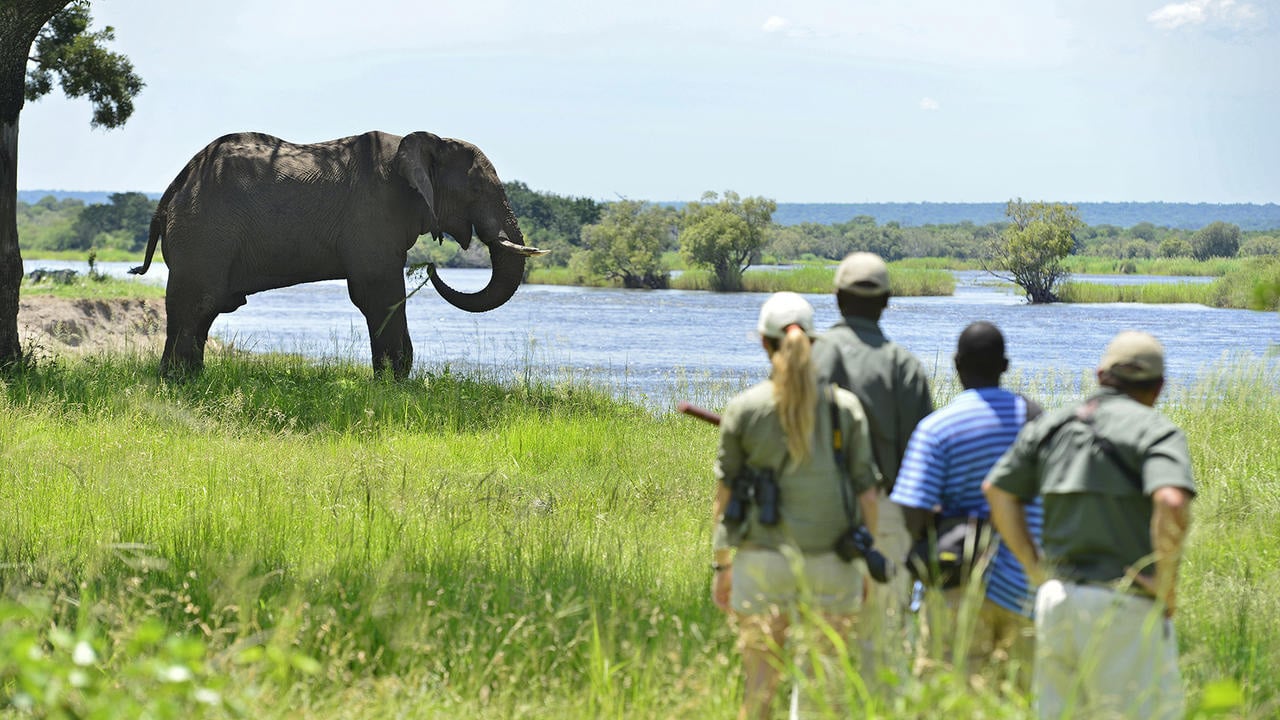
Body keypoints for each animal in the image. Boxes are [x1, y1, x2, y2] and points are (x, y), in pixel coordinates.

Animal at [129, 130, 544, 379]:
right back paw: (178, 383)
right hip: (203, 234)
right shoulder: (374, 213)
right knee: (197, 305)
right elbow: (378, 294)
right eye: (476, 189)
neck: (424, 141)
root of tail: (171, 191)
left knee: (200, 313)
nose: (432, 267)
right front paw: (393, 385)